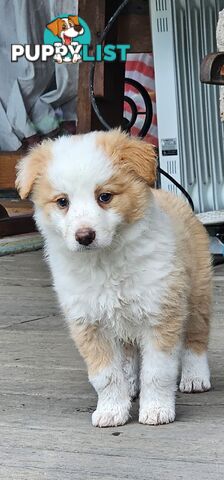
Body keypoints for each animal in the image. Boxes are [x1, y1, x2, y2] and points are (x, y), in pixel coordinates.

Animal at [15, 130, 212, 428]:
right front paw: (111, 410)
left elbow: (158, 371)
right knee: (128, 354)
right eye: (62, 202)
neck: (104, 262)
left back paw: (195, 377)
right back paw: (130, 384)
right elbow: (105, 375)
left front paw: (156, 410)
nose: (84, 236)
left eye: (105, 196)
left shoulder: (160, 312)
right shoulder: (89, 322)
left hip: (197, 293)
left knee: (196, 338)